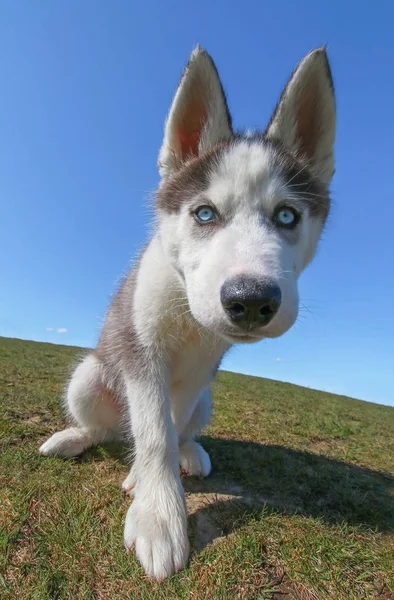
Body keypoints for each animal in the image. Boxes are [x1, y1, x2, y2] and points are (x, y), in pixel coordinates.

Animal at [39, 47, 336, 580]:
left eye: (287, 216)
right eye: (204, 214)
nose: (251, 300)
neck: (187, 314)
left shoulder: (202, 368)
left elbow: (168, 427)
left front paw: (152, 482)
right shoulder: (141, 352)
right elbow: (155, 432)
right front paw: (159, 518)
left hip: (207, 399)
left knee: (181, 426)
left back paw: (192, 453)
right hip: (90, 375)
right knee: (103, 428)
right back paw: (74, 438)